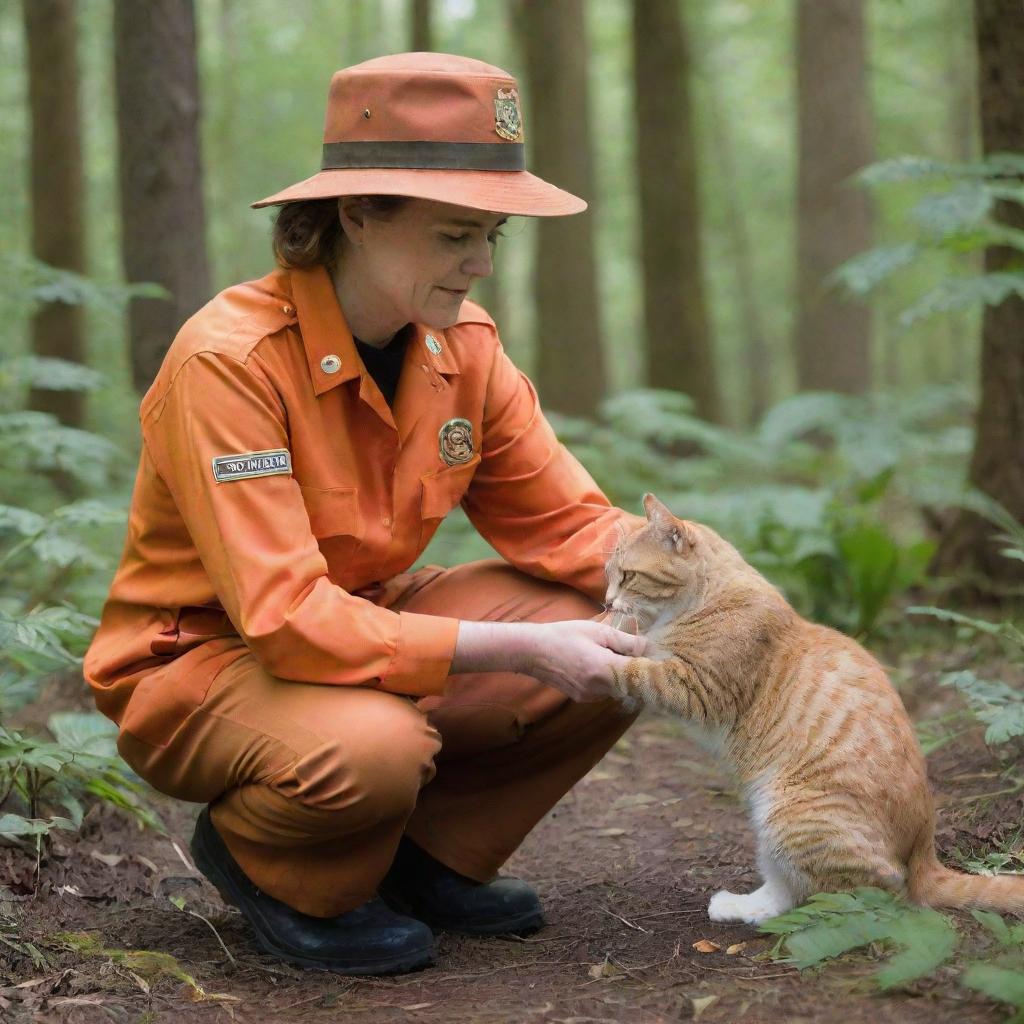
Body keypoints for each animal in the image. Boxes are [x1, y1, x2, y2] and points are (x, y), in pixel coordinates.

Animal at [602, 491, 1024, 925]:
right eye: (608, 575)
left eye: (628, 576)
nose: (606, 601)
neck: (703, 599)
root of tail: (925, 850)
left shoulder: (697, 688)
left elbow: (638, 669)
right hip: (766, 819)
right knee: (783, 889)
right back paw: (738, 906)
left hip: (789, 813)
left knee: (872, 892)